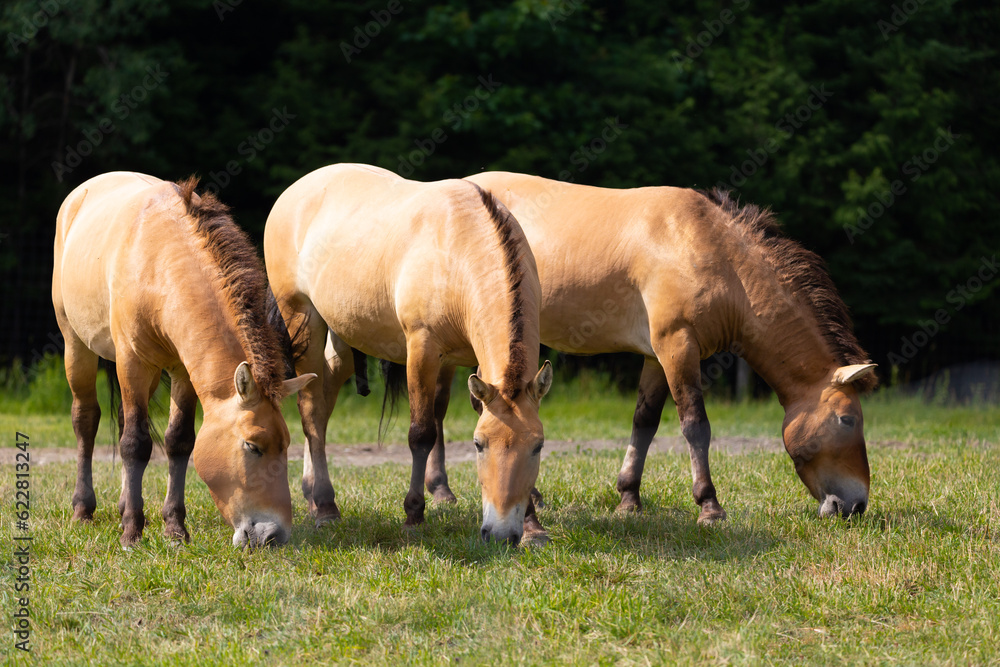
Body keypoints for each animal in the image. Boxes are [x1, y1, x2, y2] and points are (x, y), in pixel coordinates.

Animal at [52, 172, 315, 548]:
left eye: (287, 445)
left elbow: (178, 441)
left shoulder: (183, 371)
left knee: (124, 419)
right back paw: (83, 510)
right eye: (252, 446)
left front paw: (174, 529)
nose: (273, 535)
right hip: (76, 347)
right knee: (86, 420)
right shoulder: (132, 363)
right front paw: (132, 534)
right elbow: (135, 444)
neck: (160, 262)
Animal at [264, 163, 553, 545]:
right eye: (478, 444)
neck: (460, 249)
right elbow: (421, 433)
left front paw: (532, 525)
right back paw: (325, 507)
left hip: (340, 339)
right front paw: (414, 514)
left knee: (323, 409)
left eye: (537, 446)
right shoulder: (422, 349)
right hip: (303, 320)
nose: (502, 533)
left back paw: (312, 495)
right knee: (311, 412)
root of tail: (294, 190)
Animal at [460, 172, 877, 522]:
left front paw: (629, 498)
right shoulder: (677, 346)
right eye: (848, 419)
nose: (857, 505)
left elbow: (644, 423)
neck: (710, 251)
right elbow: (695, 425)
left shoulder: (656, 357)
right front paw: (709, 506)